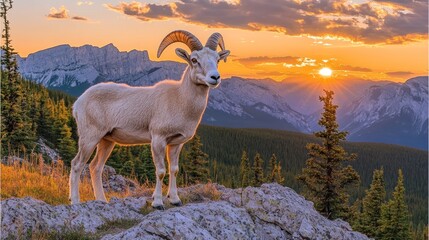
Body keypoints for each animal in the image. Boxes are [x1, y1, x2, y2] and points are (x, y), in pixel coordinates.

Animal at [69, 30, 231, 208]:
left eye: (217, 59)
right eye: (194, 60)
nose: (215, 77)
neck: (180, 100)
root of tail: (78, 103)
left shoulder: (176, 144)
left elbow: (174, 169)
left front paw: (175, 200)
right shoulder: (158, 140)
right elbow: (160, 171)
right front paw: (157, 203)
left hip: (106, 141)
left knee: (95, 167)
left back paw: (102, 200)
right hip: (90, 138)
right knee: (77, 164)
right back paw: (75, 202)